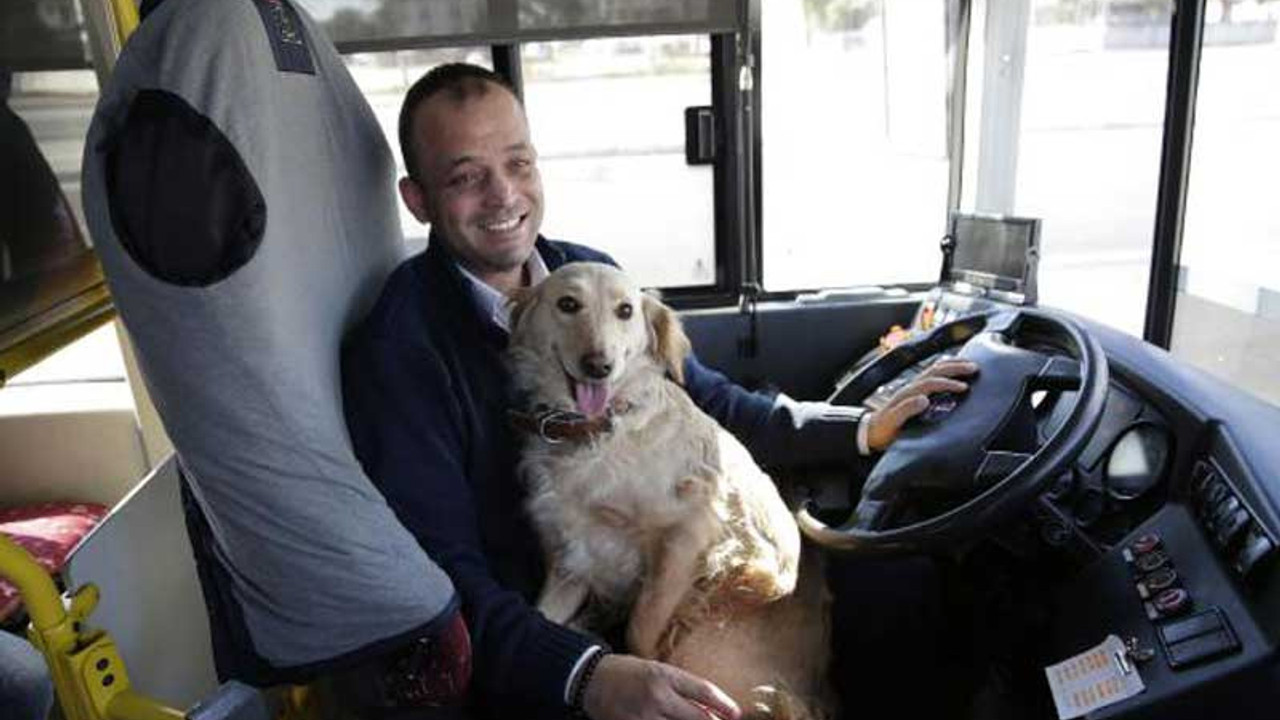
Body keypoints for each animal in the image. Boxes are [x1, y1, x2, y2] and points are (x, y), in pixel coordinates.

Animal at [509, 258, 839, 717]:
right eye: (568, 304)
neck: (599, 431)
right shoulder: (571, 559)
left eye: (625, 311)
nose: (598, 365)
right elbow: (542, 615)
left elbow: (643, 625)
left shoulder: (689, 530)